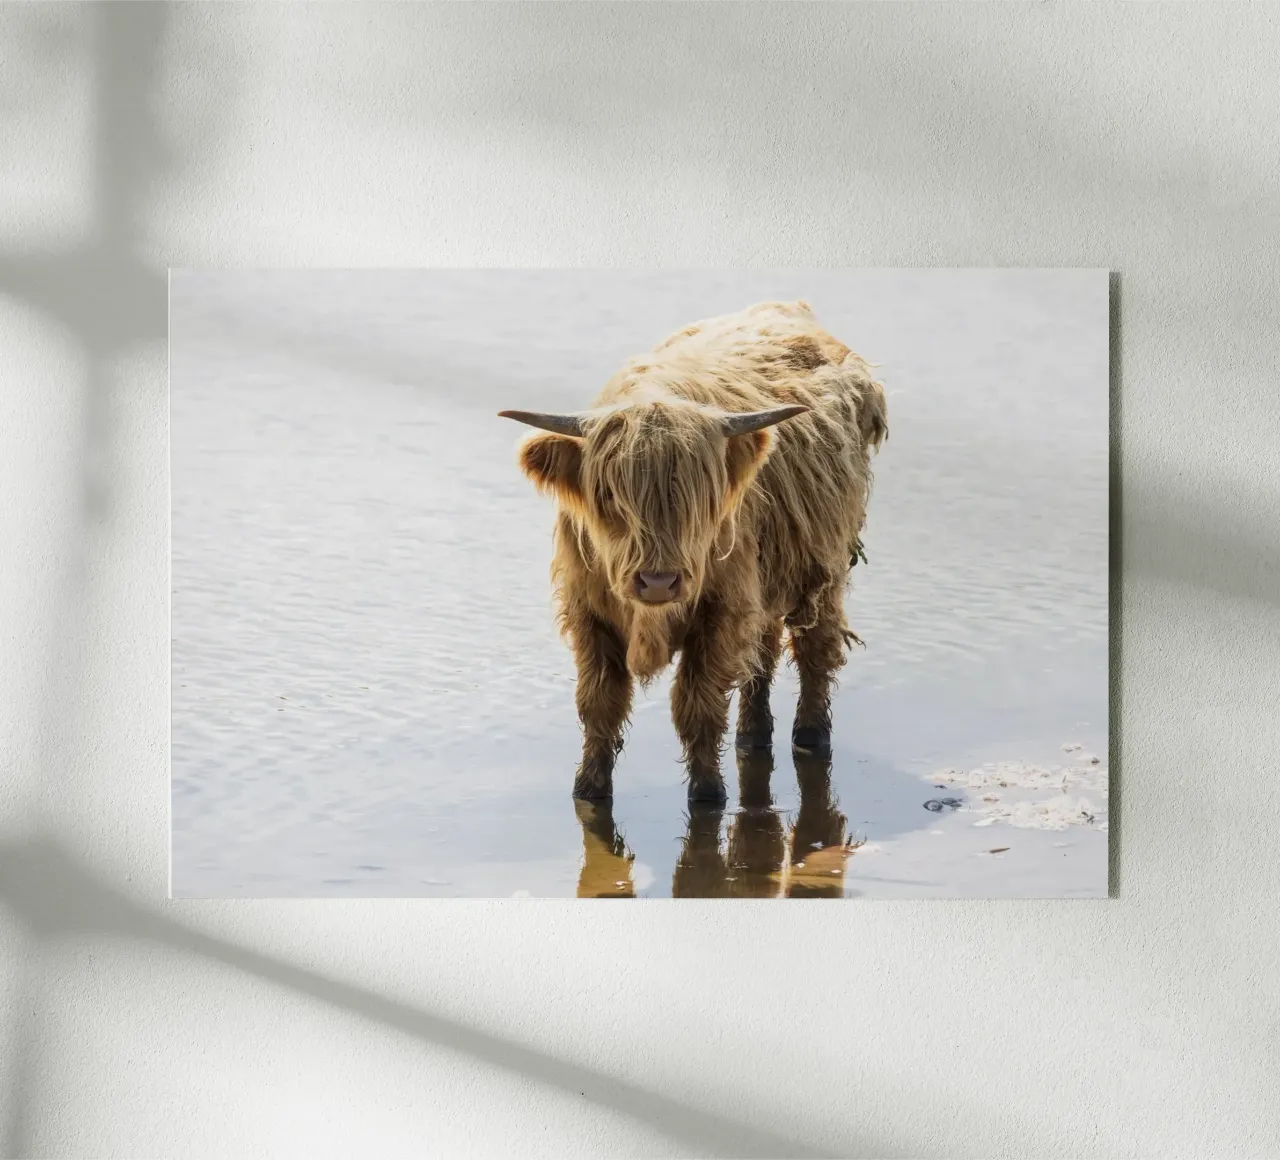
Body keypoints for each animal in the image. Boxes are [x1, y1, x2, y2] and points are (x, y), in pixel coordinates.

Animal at [499, 300, 888, 805]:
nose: (657, 581)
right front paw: (588, 788)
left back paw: (810, 736)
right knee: (761, 652)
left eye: (699, 498)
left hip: (825, 565)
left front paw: (707, 794)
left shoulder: (721, 609)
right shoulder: (589, 612)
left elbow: (698, 706)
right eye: (608, 494)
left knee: (815, 649)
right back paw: (753, 735)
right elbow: (599, 703)